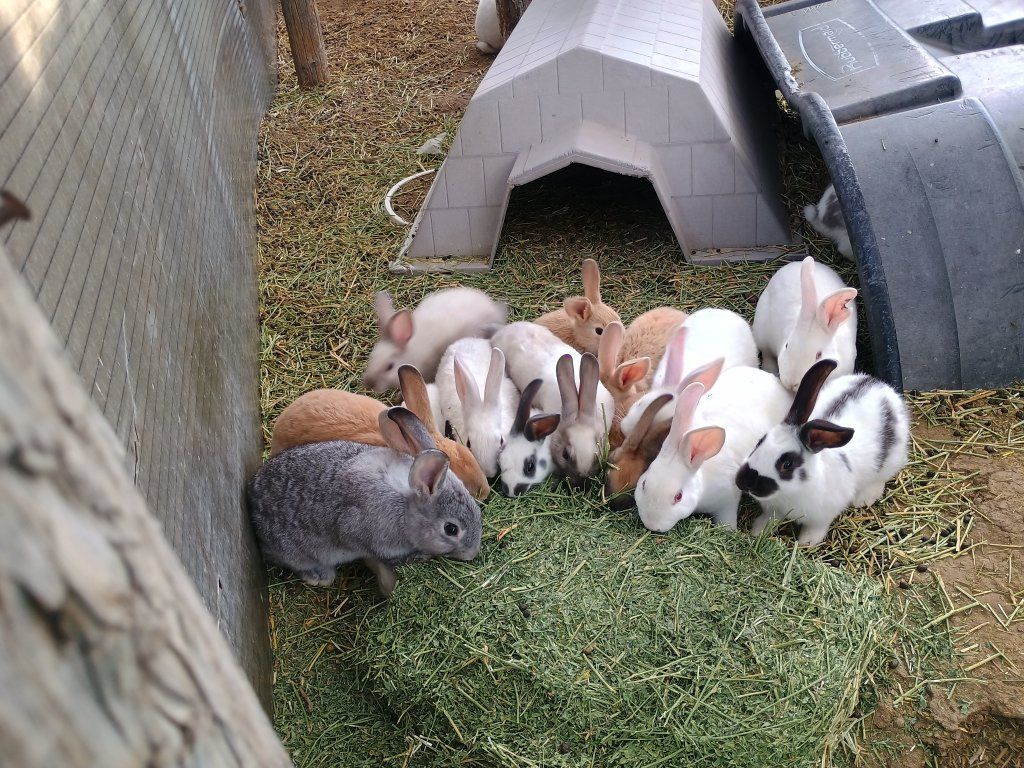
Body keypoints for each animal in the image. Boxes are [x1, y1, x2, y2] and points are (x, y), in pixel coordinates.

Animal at [248, 407, 482, 597]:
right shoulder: (362, 535)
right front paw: (419, 557)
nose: (472, 553)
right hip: (296, 551)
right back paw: (319, 576)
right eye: (451, 529)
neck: (406, 505)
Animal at [635, 358, 793, 534]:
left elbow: (727, 518)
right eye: (644, 483)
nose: (652, 525)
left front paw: (730, 531)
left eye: (678, 496)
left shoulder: (727, 501)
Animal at [735, 359, 910, 546]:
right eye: (760, 441)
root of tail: (879, 384)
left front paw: (807, 542)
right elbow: (769, 518)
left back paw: (864, 499)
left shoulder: (823, 515)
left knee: (880, 479)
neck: (791, 491)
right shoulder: (774, 509)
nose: (743, 481)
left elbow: (816, 528)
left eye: (787, 464)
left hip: (891, 460)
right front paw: (757, 531)